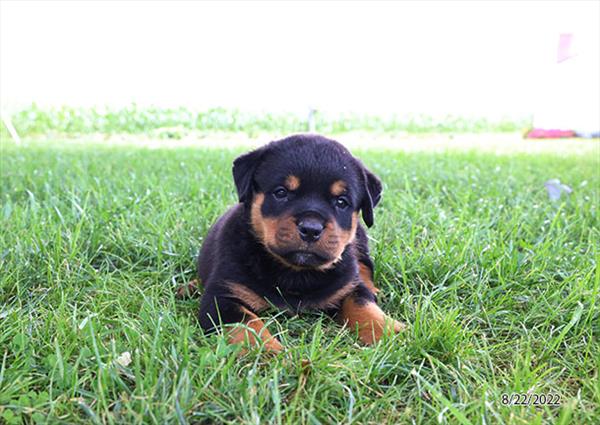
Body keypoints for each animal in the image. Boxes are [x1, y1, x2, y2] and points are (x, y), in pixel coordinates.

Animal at [196, 133, 404, 352]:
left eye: (341, 202)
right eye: (281, 192)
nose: (311, 229)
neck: (297, 273)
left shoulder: (349, 285)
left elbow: (362, 303)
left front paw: (391, 332)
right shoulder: (221, 298)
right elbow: (248, 327)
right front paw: (270, 352)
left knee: (364, 266)